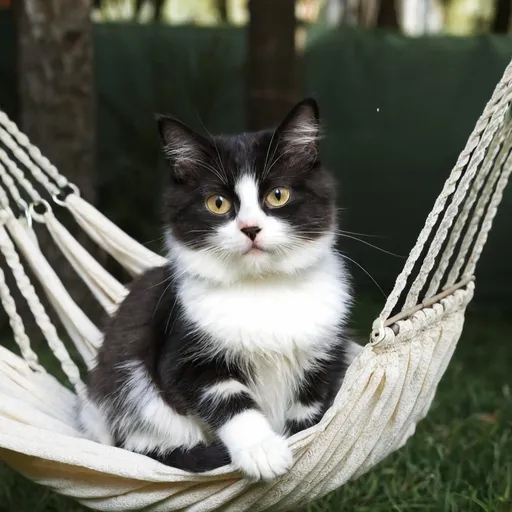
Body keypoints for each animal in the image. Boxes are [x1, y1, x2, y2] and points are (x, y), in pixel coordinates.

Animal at [78, 98, 362, 482]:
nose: (251, 228)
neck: (263, 288)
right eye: (218, 203)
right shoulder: (182, 354)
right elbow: (227, 398)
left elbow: (308, 411)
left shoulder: (326, 354)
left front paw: (299, 443)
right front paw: (262, 450)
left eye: (278, 195)